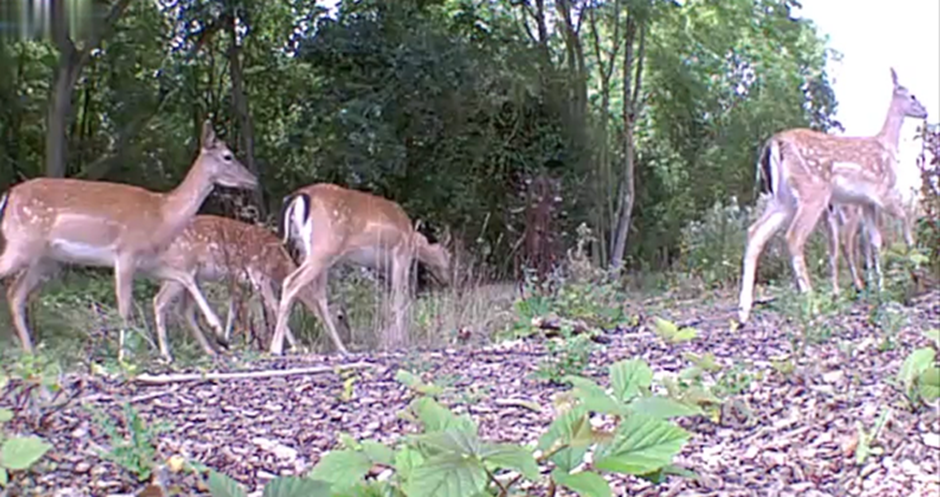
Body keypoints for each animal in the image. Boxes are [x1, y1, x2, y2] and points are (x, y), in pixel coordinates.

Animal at [0, 121, 258, 359]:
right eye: (228, 156)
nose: (254, 180)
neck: (163, 215)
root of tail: (7, 196)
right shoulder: (126, 253)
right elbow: (124, 308)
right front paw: (124, 356)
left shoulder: (150, 262)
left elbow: (185, 278)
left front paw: (219, 334)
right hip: (22, 243)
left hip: (44, 259)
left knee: (15, 294)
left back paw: (30, 352)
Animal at [150, 214, 349, 361]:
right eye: (340, 316)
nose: (348, 337)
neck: (279, 265)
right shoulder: (257, 273)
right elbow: (274, 307)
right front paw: (294, 346)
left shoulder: (239, 281)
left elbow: (236, 310)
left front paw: (234, 342)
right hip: (180, 268)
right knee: (159, 301)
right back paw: (167, 354)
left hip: (194, 276)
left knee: (184, 310)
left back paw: (210, 350)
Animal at [268, 183, 452, 356]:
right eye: (447, 255)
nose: (446, 280)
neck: (412, 238)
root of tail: (298, 196)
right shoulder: (401, 256)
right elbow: (400, 298)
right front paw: (401, 340)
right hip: (324, 247)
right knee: (291, 282)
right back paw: (275, 348)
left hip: (310, 252)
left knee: (319, 296)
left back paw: (341, 348)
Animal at [738, 68, 928, 325]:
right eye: (913, 96)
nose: (926, 112)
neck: (887, 146)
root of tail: (775, 142)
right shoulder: (883, 193)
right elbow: (905, 218)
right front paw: (914, 262)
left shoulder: (866, 202)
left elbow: (876, 242)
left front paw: (881, 288)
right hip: (813, 192)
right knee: (794, 237)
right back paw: (813, 303)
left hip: (783, 199)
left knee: (755, 232)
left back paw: (743, 311)